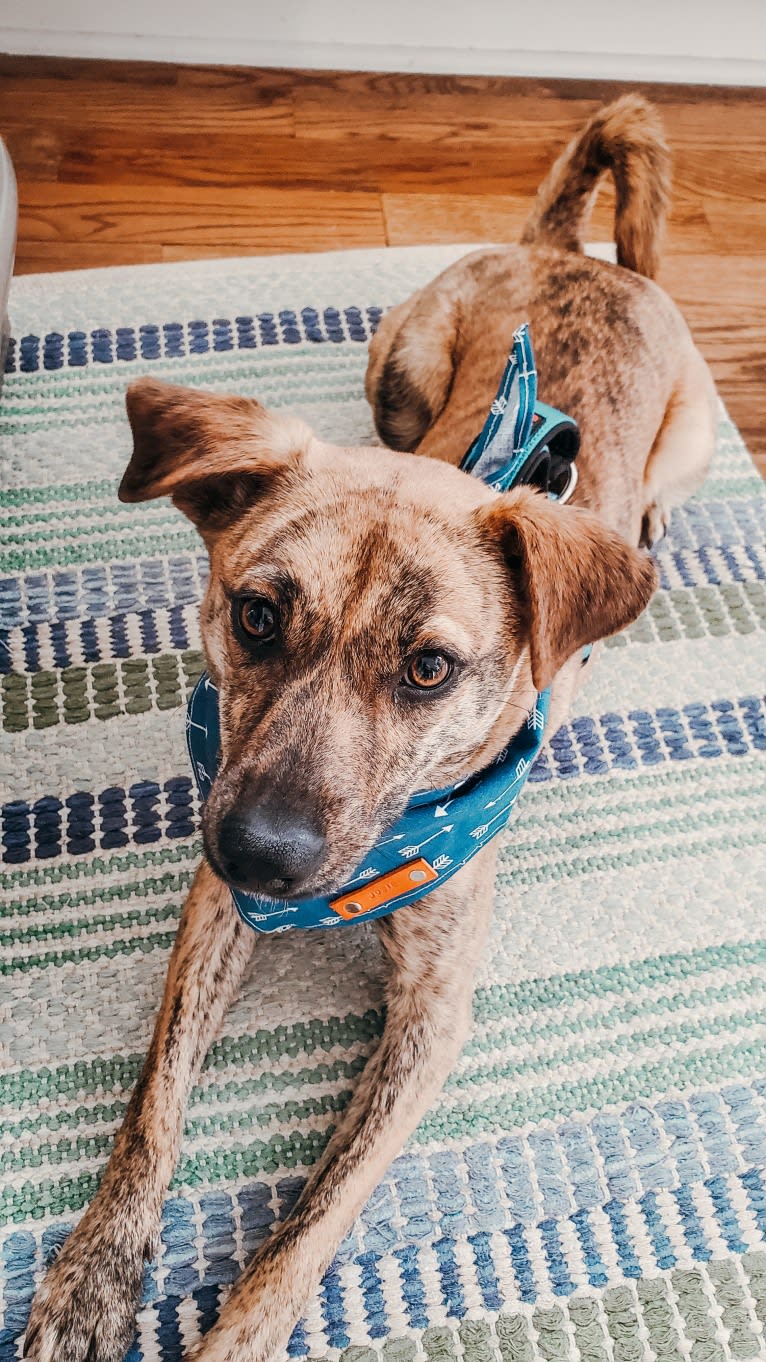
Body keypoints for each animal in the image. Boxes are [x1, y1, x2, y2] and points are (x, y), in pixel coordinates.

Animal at [25, 93, 714, 1362]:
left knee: (657, 497)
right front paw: (93, 1277)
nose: (263, 855)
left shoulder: (431, 1018)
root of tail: (582, 258)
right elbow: (152, 1106)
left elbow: (306, 1232)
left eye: (431, 669)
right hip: (401, 355)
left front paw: (232, 1335)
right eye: (254, 615)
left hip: (683, 444)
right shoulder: (212, 910)